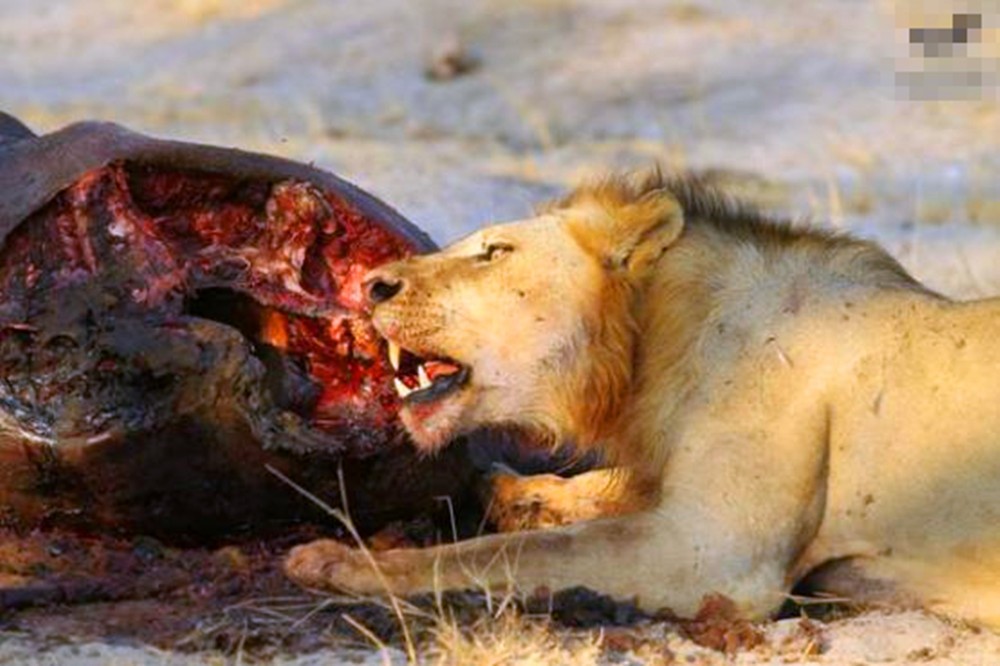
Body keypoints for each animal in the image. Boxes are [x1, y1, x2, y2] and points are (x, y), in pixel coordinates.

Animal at [284, 169, 1000, 624]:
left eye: (495, 251)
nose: (372, 285)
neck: (647, 352)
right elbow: (598, 493)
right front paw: (515, 492)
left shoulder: (712, 556)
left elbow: (511, 553)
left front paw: (339, 563)